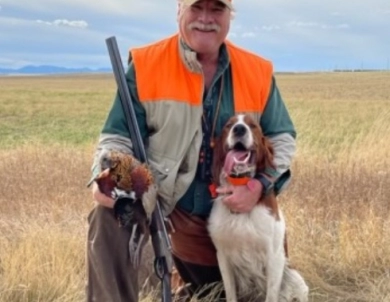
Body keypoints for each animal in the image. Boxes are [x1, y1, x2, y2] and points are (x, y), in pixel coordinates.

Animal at [207, 114, 308, 302]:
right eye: (229, 125)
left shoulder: (274, 256)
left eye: (252, 125)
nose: (239, 129)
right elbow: (230, 294)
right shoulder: (223, 255)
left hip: (296, 278)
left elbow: (271, 295)